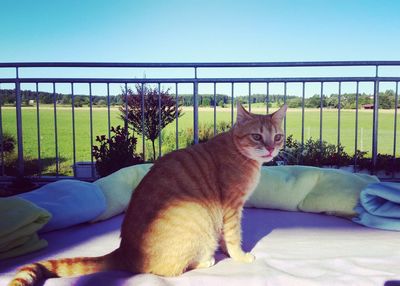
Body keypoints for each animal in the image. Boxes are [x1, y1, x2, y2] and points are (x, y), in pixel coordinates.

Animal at [10, 103, 288, 286]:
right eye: (257, 136)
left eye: (277, 136)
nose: (271, 148)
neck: (240, 153)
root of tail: (125, 251)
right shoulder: (231, 208)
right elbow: (232, 236)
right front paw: (239, 256)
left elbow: (224, 237)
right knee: (170, 270)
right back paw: (205, 261)